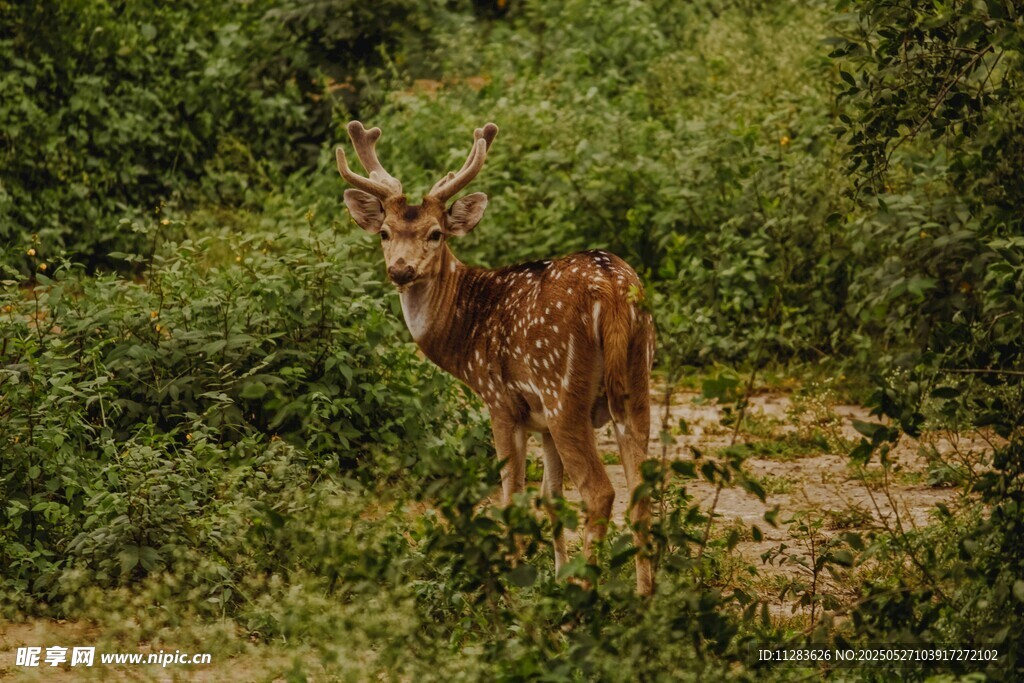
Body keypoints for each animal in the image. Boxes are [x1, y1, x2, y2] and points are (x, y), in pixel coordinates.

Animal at [335, 121, 656, 595]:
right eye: (384, 232)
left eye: (436, 233)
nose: (401, 269)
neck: (466, 332)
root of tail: (613, 290)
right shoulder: (540, 422)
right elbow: (551, 497)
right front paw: (555, 576)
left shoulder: (502, 401)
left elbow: (512, 496)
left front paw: (515, 581)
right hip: (635, 384)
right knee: (642, 490)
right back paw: (644, 595)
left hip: (563, 388)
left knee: (600, 491)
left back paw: (587, 596)